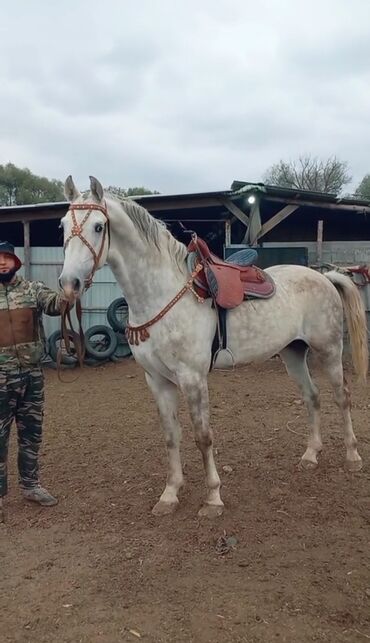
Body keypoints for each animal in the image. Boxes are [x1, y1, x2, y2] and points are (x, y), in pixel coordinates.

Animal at [58, 176, 368, 520]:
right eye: (62, 226)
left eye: (99, 227)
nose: (69, 284)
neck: (163, 293)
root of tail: (325, 276)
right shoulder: (157, 381)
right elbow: (171, 436)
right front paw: (170, 494)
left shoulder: (193, 379)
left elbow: (202, 437)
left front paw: (213, 499)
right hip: (293, 353)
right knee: (312, 397)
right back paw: (311, 455)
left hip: (328, 350)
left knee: (342, 397)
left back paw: (352, 457)